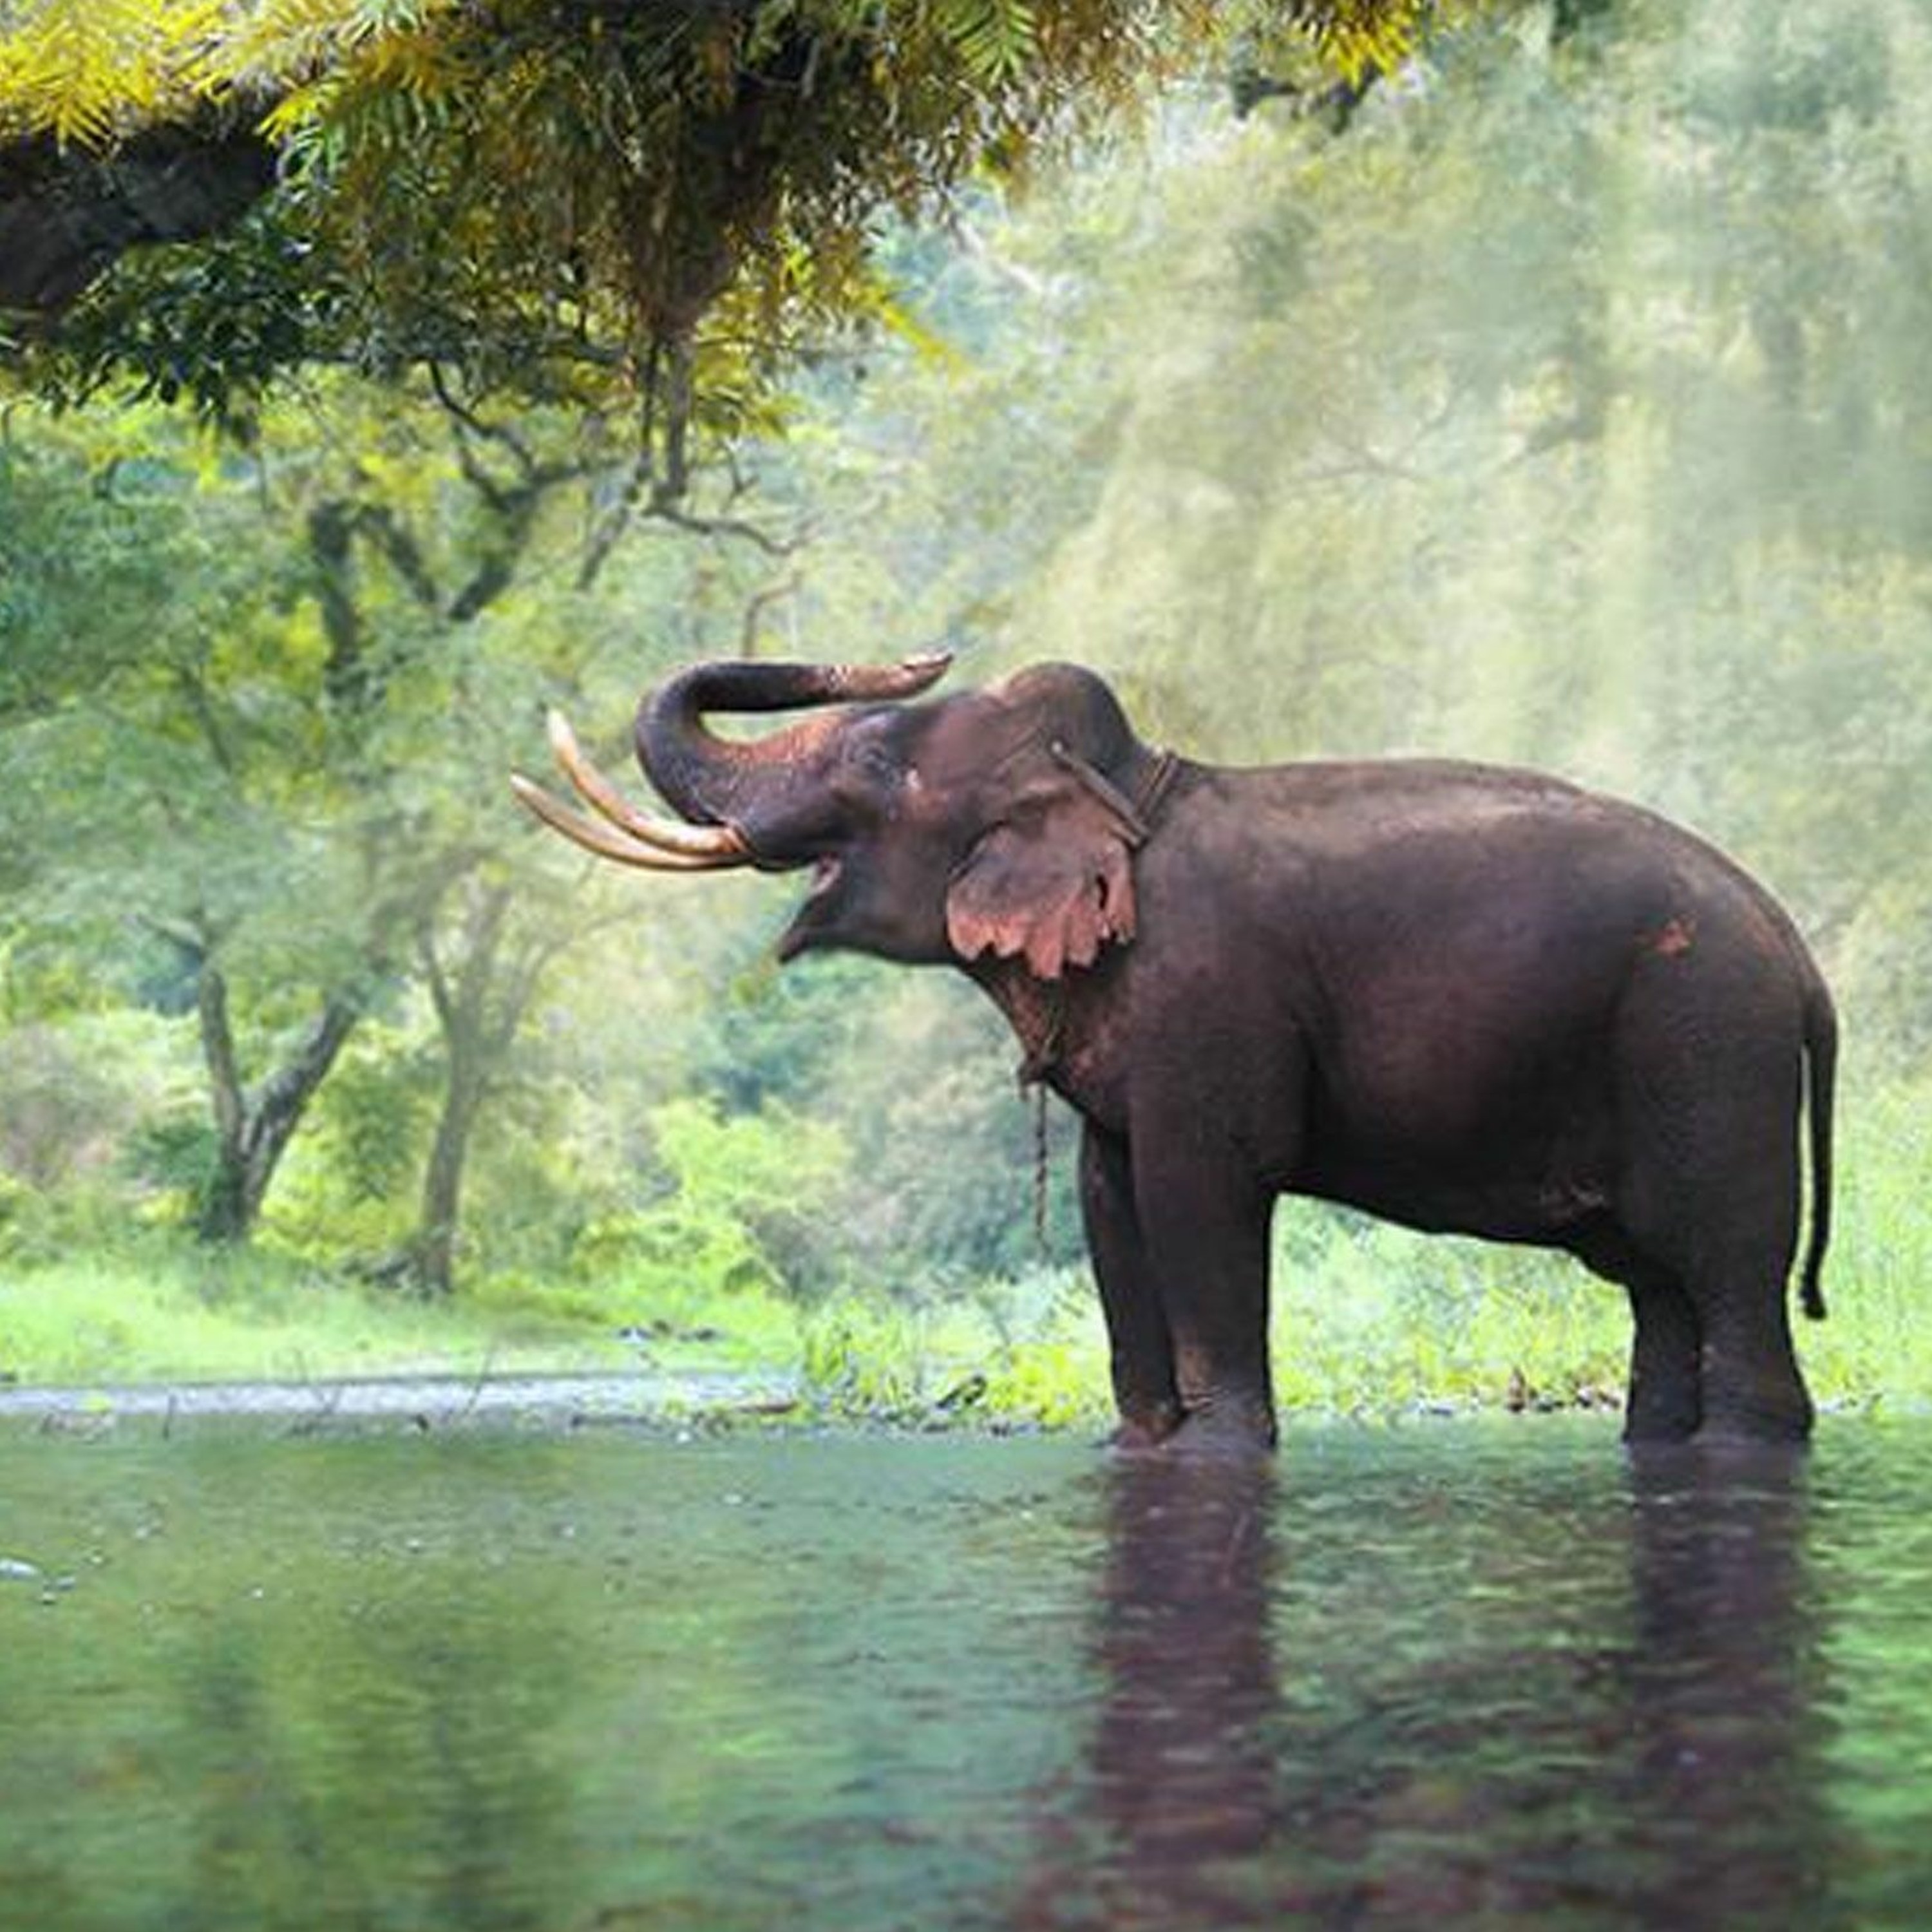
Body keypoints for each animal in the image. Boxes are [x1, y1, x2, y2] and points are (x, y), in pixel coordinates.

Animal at [512, 653, 1836, 1455]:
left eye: (878, 762)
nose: (927, 648)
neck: (1128, 787)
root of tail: (1801, 960)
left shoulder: (1211, 1001)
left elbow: (1202, 1189)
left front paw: (1221, 1448)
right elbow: (1110, 1201)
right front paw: (1135, 1444)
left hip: (1707, 1049)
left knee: (1726, 1272)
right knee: (1658, 1287)